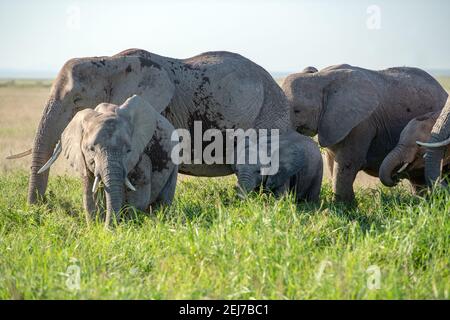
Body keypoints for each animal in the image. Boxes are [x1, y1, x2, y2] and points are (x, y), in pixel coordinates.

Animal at [37, 95, 178, 228]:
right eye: (91, 149)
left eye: (128, 150)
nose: (110, 227)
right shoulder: (84, 161)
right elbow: (90, 196)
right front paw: (96, 229)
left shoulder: (141, 155)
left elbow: (138, 195)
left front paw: (126, 226)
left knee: (163, 200)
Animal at [284, 64, 448, 202]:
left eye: (297, 111)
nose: (396, 178)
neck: (321, 77)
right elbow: (332, 163)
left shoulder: (361, 124)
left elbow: (347, 163)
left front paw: (345, 209)